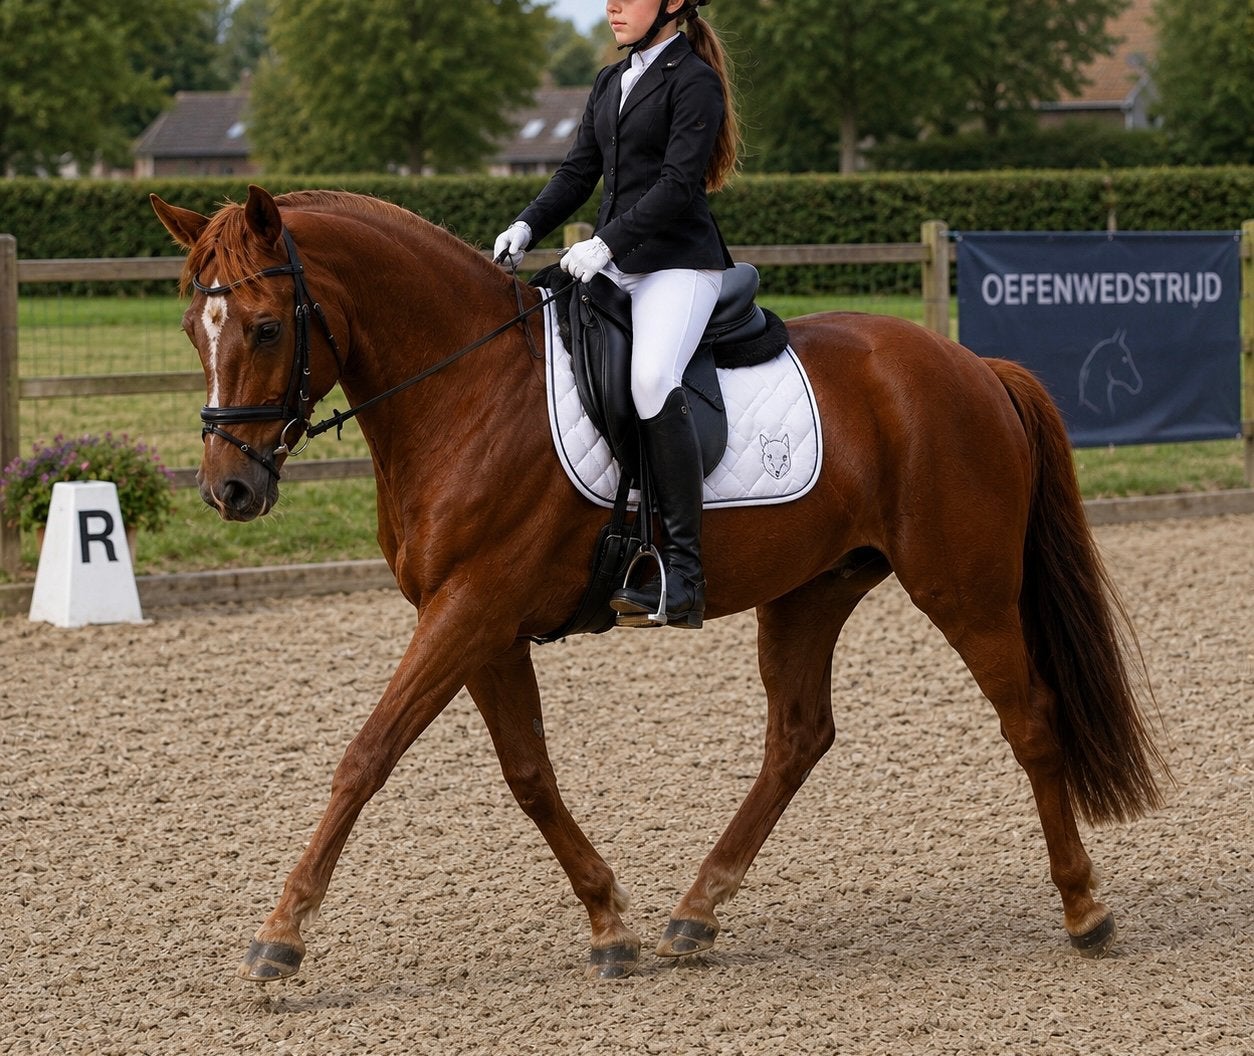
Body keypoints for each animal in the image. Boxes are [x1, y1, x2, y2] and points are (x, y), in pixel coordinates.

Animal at [150, 185, 1167, 982]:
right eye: (192, 327)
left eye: (267, 326)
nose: (228, 490)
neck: (465, 390)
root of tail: (971, 367)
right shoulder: (479, 621)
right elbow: (528, 774)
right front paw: (609, 922)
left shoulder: (470, 608)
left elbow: (367, 755)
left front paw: (280, 937)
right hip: (813, 589)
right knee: (799, 738)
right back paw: (695, 913)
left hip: (965, 588)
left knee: (1029, 721)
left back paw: (1084, 909)